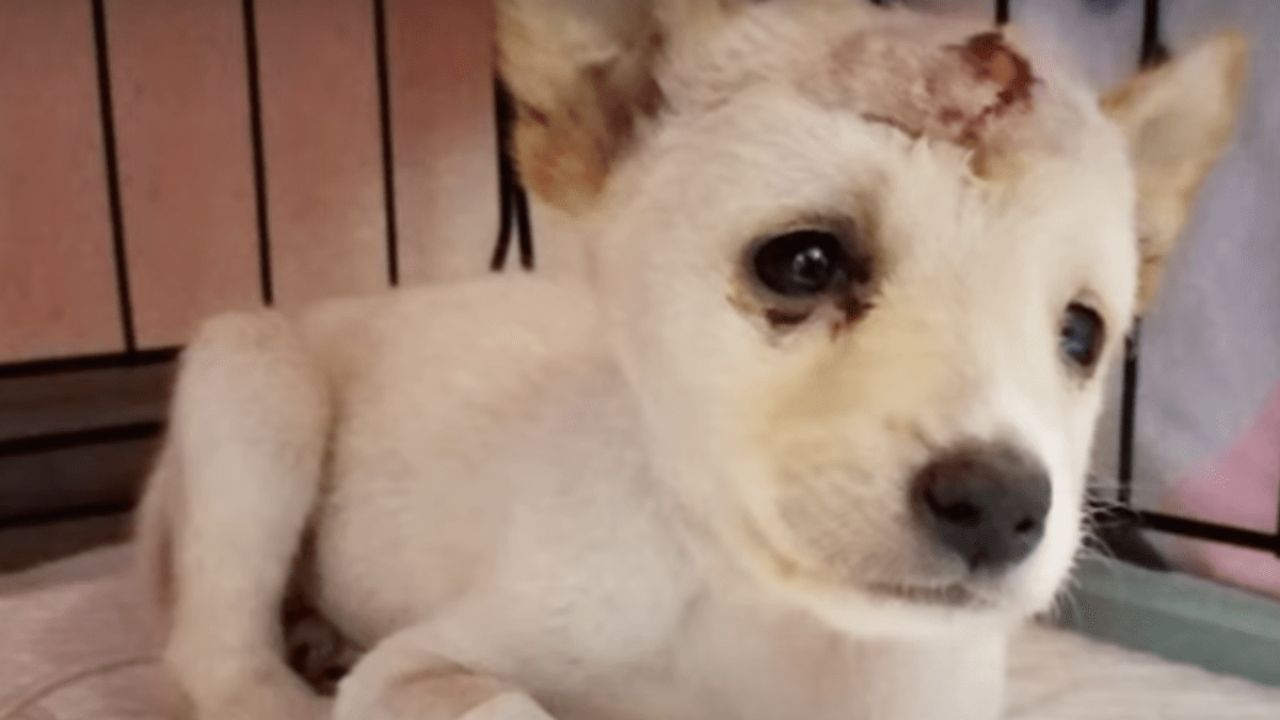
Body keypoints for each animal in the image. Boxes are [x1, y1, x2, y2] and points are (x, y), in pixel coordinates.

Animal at [135, 1, 1244, 717]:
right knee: (215, 657)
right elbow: (509, 707)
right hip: (254, 392)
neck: (767, 622)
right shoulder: (419, 669)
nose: (1003, 506)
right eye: (803, 262)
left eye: (1080, 334)